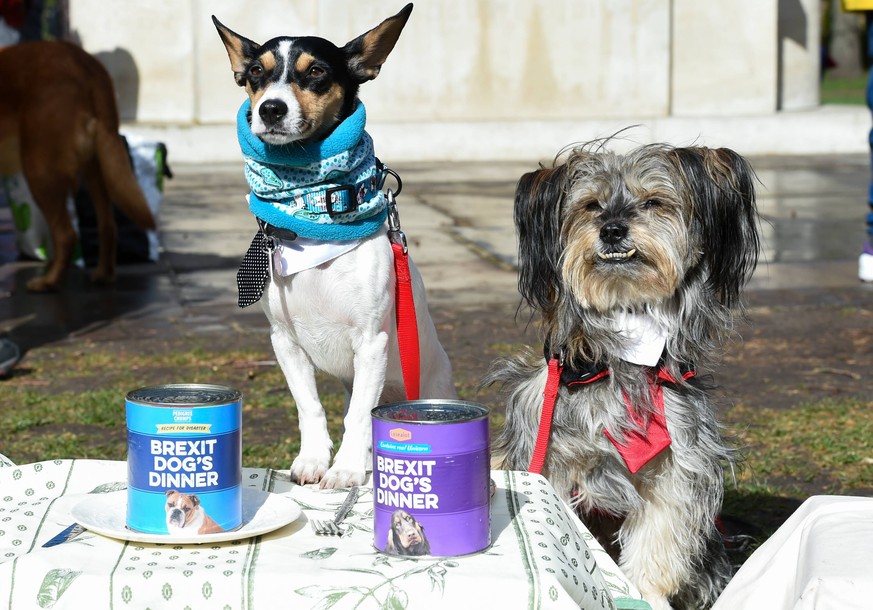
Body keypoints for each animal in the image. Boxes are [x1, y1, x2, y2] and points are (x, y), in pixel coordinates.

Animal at [0, 40, 154, 292]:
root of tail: (84, 61)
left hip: (40, 170)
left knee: (66, 235)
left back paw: (48, 282)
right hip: (94, 169)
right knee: (108, 225)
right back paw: (103, 274)